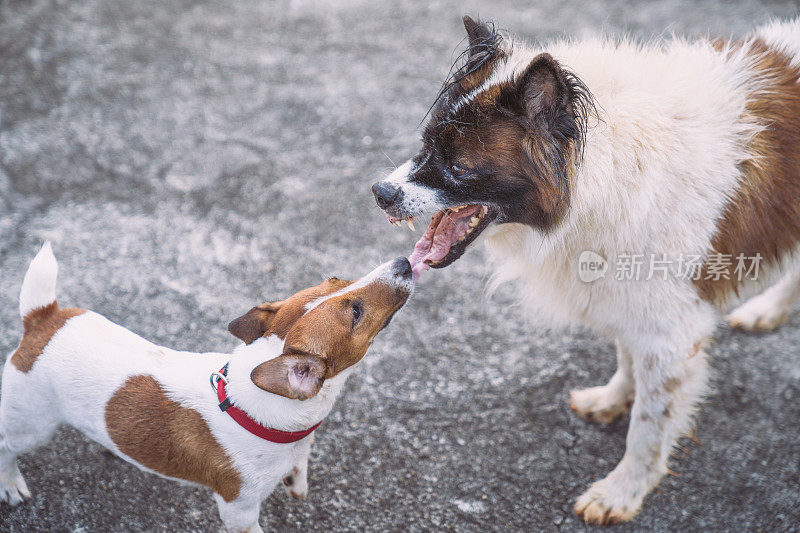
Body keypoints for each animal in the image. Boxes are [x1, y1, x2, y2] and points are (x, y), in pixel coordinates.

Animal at [0, 243, 412, 528]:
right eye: (356, 312)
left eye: (338, 278)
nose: (404, 263)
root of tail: (44, 319)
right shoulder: (238, 512)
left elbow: (299, 468)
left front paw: (295, 482)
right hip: (32, 426)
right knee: (7, 446)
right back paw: (11, 484)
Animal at [372, 15, 800, 524]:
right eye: (424, 146)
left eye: (458, 167)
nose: (379, 193)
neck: (607, 163)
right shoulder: (627, 292)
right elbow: (627, 357)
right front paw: (614, 400)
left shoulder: (671, 328)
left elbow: (649, 425)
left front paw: (622, 491)